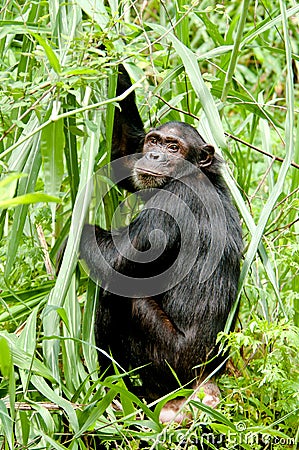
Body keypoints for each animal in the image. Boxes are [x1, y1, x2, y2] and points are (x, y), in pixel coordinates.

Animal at [80, 66, 244, 422]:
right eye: (154, 141)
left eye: (173, 147)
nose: (154, 155)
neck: (194, 174)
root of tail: (204, 384)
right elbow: (125, 154)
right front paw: (113, 67)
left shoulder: (170, 206)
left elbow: (116, 259)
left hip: (169, 364)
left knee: (124, 296)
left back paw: (121, 390)